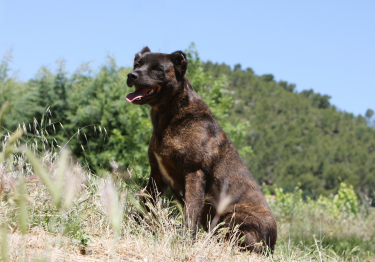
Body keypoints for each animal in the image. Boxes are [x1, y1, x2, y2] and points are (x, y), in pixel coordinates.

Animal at [128, 47, 278, 254]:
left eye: (158, 69)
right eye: (137, 64)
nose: (132, 75)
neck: (171, 116)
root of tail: (273, 244)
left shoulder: (194, 173)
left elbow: (190, 212)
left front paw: (185, 240)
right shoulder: (157, 174)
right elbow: (147, 203)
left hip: (232, 216)